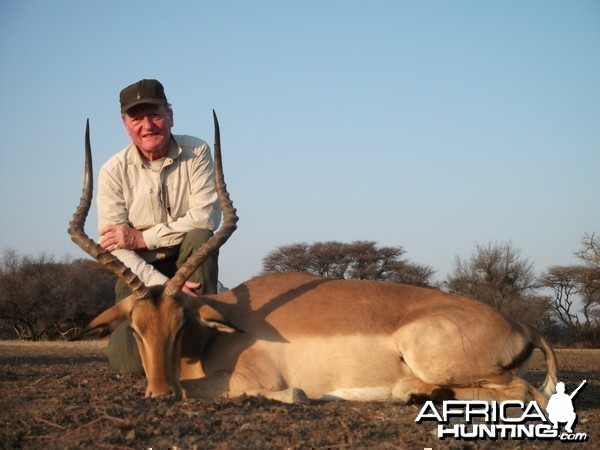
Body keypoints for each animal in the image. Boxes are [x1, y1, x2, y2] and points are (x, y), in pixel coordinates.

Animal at [70, 111, 556, 404]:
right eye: (137, 328)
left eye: (180, 324)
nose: (160, 394)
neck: (211, 338)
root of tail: (523, 326)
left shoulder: (249, 379)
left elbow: (262, 392)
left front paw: (304, 396)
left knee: (527, 394)